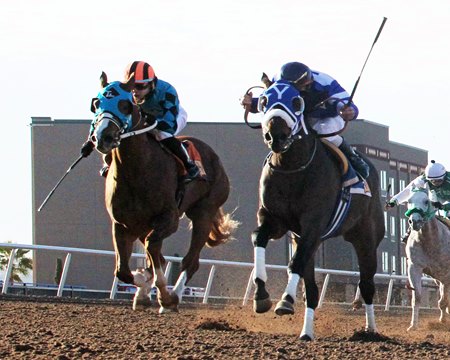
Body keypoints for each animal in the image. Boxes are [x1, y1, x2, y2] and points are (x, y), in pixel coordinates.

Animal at [89, 72, 239, 312]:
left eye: (124, 104)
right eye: (96, 103)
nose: (103, 137)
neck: (136, 169)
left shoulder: (169, 219)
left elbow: (153, 251)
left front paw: (164, 296)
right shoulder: (122, 225)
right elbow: (123, 271)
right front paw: (143, 288)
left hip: (204, 213)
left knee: (190, 260)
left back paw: (173, 296)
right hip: (144, 225)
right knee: (156, 255)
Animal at [250, 79, 384, 340]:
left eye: (296, 101)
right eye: (263, 100)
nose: (276, 135)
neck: (292, 169)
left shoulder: (313, 224)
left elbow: (296, 262)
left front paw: (284, 301)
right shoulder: (275, 220)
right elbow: (259, 238)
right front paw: (261, 295)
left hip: (366, 238)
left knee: (366, 285)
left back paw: (371, 330)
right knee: (311, 290)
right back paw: (306, 333)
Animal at [404, 188, 450, 332]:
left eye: (426, 201)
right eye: (409, 201)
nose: (414, 221)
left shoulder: (446, 274)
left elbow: (443, 300)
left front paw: (443, 320)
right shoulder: (414, 267)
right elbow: (417, 297)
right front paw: (413, 325)